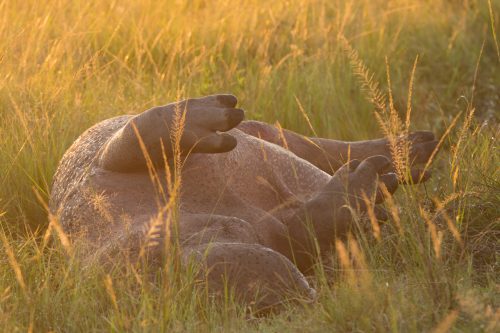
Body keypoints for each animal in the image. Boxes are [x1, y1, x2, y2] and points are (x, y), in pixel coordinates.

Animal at [48, 94, 436, 312]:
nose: (303, 298)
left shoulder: (102, 171)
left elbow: (135, 139)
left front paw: (203, 114)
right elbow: (306, 227)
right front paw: (359, 192)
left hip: (268, 131)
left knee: (321, 146)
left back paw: (417, 148)